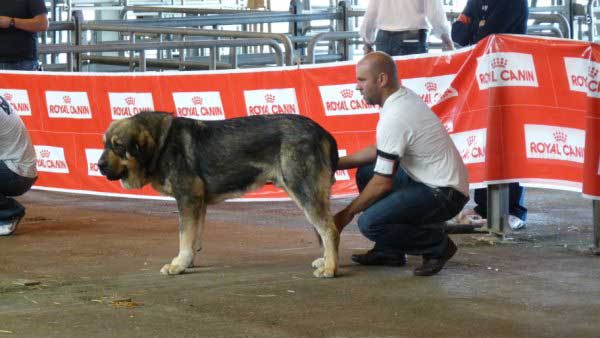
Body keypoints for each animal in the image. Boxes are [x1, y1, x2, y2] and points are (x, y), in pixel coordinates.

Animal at [101, 111, 340, 278]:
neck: (162, 144)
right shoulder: (199, 203)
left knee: (329, 229)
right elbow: (194, 237)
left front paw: (179, 265)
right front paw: (187, 261)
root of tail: (322, 131)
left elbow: (184, 236)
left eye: (118, 146)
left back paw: (330, 268)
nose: (99, 165)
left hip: (303, 189)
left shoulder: (188, 198)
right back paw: (326, 261)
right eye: (105, 144)